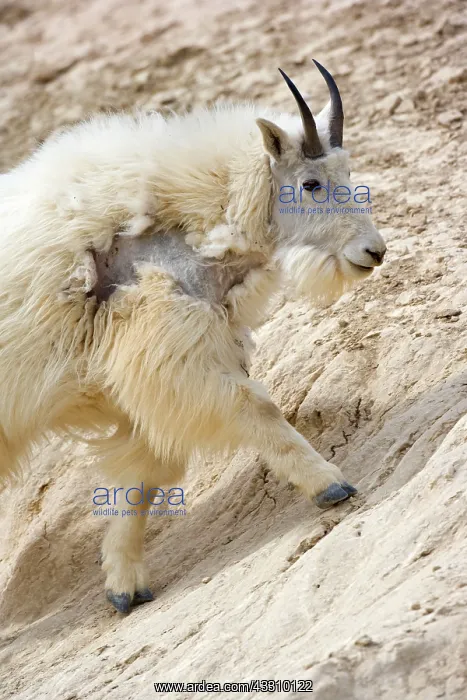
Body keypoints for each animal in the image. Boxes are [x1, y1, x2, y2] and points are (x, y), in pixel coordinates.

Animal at [0, 60, 386, 612]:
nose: (374, 251)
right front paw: (331, 485)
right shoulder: (173, 351)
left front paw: (125, 586)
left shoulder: (151, 373)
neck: (194, 224)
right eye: (311, 183)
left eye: (350, 173)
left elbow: (143, 472)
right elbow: (255, 410)